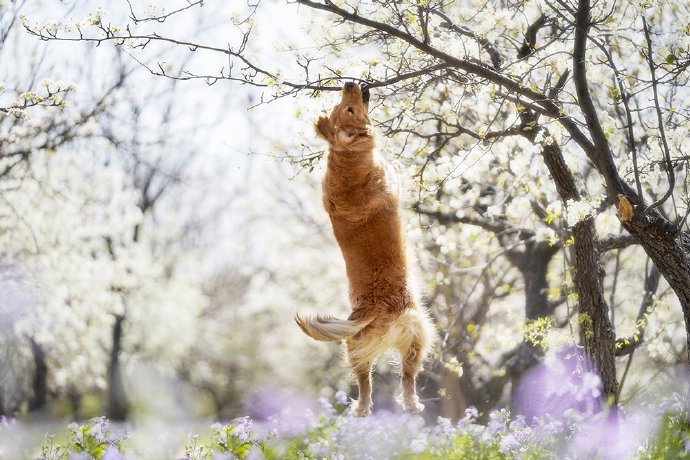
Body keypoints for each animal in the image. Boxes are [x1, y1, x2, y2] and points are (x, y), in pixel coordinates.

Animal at [292, 82, 432, 416]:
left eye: (339, 105)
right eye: (350, 109)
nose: (349, 84)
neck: (345, 157)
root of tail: (373, 310)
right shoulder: (391, 181)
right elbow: (394, 170)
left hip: (355, 348)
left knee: (365, 380)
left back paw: (362, 409)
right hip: (419, 332)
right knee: (407, 376)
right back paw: (412, 404)